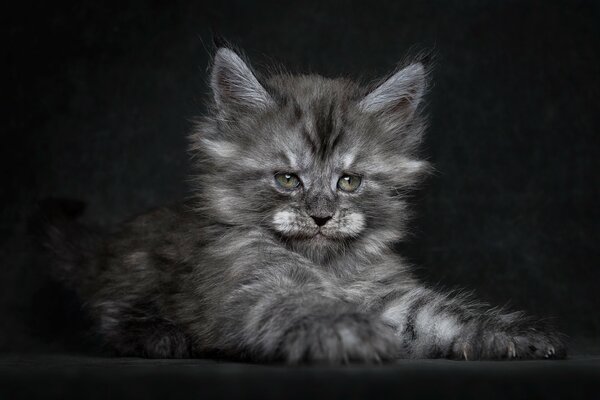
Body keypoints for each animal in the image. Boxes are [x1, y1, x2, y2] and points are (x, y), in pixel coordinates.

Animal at [38, 47, 568, 362]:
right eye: (288, 179)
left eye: (349, 181)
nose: (320, 215)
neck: (324, 265)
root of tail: (102, 251)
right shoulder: (253, 281)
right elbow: (301, 303)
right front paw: (349, 333)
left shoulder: (384, 293)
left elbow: (440, 316)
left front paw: (511, 333)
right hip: (130, 280)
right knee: (112, 316)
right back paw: (161, 336)